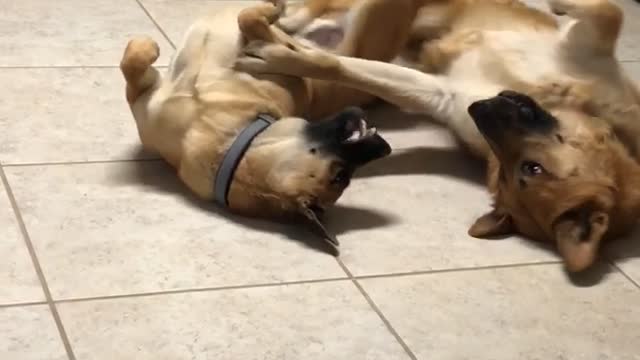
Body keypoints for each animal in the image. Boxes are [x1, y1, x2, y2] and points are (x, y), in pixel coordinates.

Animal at [118, 0, 424, 250]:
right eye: (341, 177)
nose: (384, 147)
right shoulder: (144, 97)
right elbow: (132, 62)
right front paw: (146, 47)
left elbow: (249, 18)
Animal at [235, 0, 640, 270]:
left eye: (530, 168)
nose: (479, 109)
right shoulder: (589, 37)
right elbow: (608, 9)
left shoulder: (441, 93)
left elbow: (335, 63)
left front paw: (276, 53)